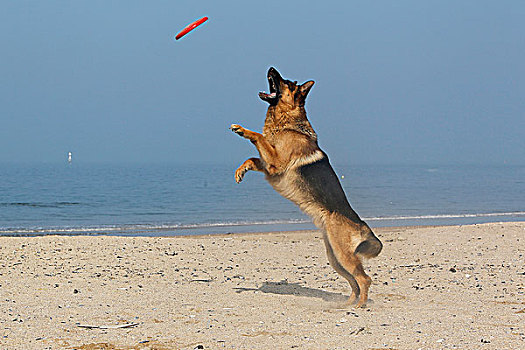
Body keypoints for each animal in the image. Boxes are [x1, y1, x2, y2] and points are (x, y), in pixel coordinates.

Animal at [229, 66, 380, 306]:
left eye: (287, 83)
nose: (271, 67)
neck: (287, 124)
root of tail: (363, 225)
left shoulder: (276, 163)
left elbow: (258, 137)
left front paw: (243, 130)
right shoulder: (270, 166)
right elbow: (252, 158)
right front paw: (240, 171)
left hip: (343, 256)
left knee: (365, 279)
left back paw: (360, 305)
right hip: (336, 258)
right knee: (354, 281)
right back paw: (347, 303)